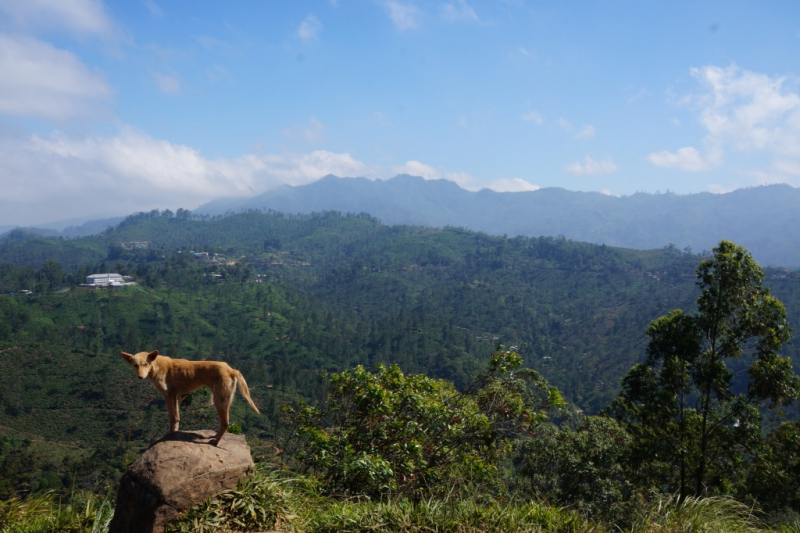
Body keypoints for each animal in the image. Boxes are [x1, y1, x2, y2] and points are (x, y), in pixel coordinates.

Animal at [122, 350, 260, 444]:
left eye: (146, 364)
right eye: (135, 365)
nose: (140, 376)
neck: (156, 365)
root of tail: (232, 369)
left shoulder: (167, 394)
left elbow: (172, 417)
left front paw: (170, 432)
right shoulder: (174, 395)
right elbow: (177, 417)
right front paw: (175, 430)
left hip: (219, 400)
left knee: (225, 423)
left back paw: (215, 442)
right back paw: (215, 437)